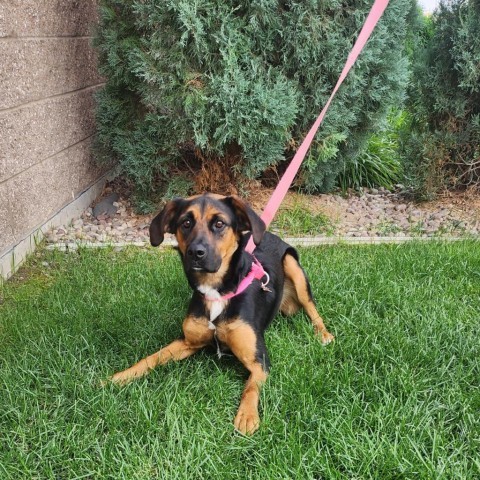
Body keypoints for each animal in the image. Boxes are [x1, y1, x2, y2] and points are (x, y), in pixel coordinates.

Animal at [109, 194, 334, 436]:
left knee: (311, 308)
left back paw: (323, 334)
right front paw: (118, 378)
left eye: (219, 223)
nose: (196, 253)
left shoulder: (259, 360)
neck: (217, 293)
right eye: (185, 223)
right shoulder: (187, 341)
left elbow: (250, 387)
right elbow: (151, 358)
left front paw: (247, 416)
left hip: (294, 267)